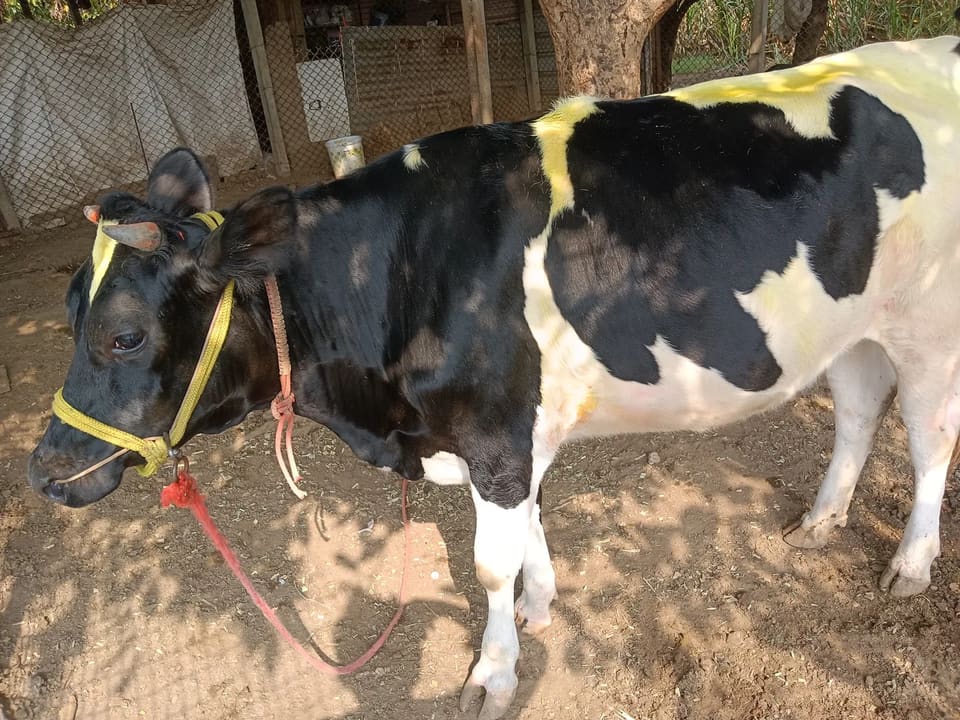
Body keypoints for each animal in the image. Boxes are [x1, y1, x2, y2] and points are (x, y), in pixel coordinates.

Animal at [27, 36, 960, 719]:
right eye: (70, 313)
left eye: (124, 335)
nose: (43, 469)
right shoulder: (510, 436)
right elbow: (529, 532)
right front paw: (537, 605)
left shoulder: (499, 433)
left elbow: (484, 564)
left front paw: (493, 673)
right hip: (851, 325)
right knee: (858, 411)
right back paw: (820, 522)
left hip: (928, 324)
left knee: (928, 437)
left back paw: (910, 566)